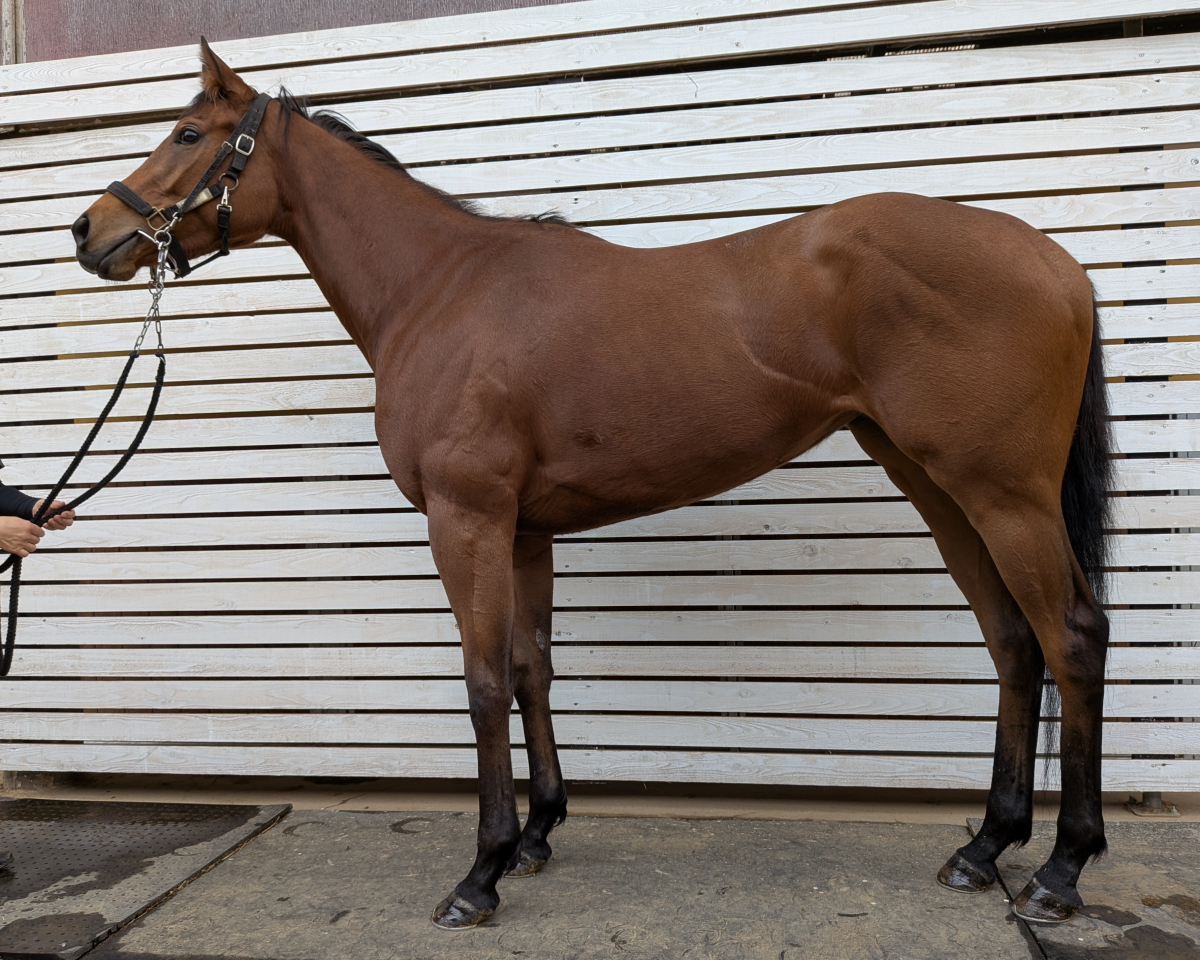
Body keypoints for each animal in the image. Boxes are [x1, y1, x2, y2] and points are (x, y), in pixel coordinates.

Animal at [73, 41, 1112, 930]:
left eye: (188, 135)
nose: (90, 229)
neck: (439, 289)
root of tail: (1055, 260)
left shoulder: (467, 521)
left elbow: (484, 681)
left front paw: (481, 872)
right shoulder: (525, 531)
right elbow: (533, 668)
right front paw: (537, 833)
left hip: (1003, 493)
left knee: (1070, 636)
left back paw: (1061, 870)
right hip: (940, 487)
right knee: (1013, 642)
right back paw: (985, 847)